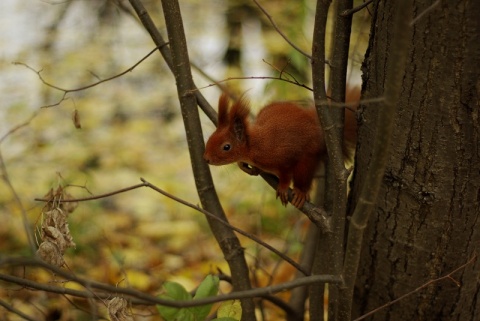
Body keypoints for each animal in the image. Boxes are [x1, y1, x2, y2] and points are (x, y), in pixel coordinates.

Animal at [203, 87, 360, 208]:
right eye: (210, 138)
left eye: (226, 147)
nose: (206, 159)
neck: (255, 145)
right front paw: (244, 165)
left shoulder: (284, 156)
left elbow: (286, 174)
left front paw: (284, 188)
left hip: (307, 160)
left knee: (304, 176)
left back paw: (300, 192)